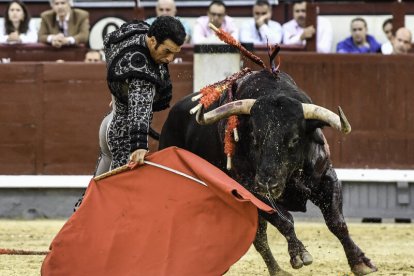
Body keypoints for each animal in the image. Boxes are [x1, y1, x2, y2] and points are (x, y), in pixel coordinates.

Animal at [159, 70, 378, 274]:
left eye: (295, 139)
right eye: (255, 138)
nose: (268, 184)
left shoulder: (327, 178)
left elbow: (336, 222)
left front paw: (360, 262)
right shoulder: (251, 189)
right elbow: (285, 220)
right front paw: (300, 254)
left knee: (259, 237)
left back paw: (277, 271)